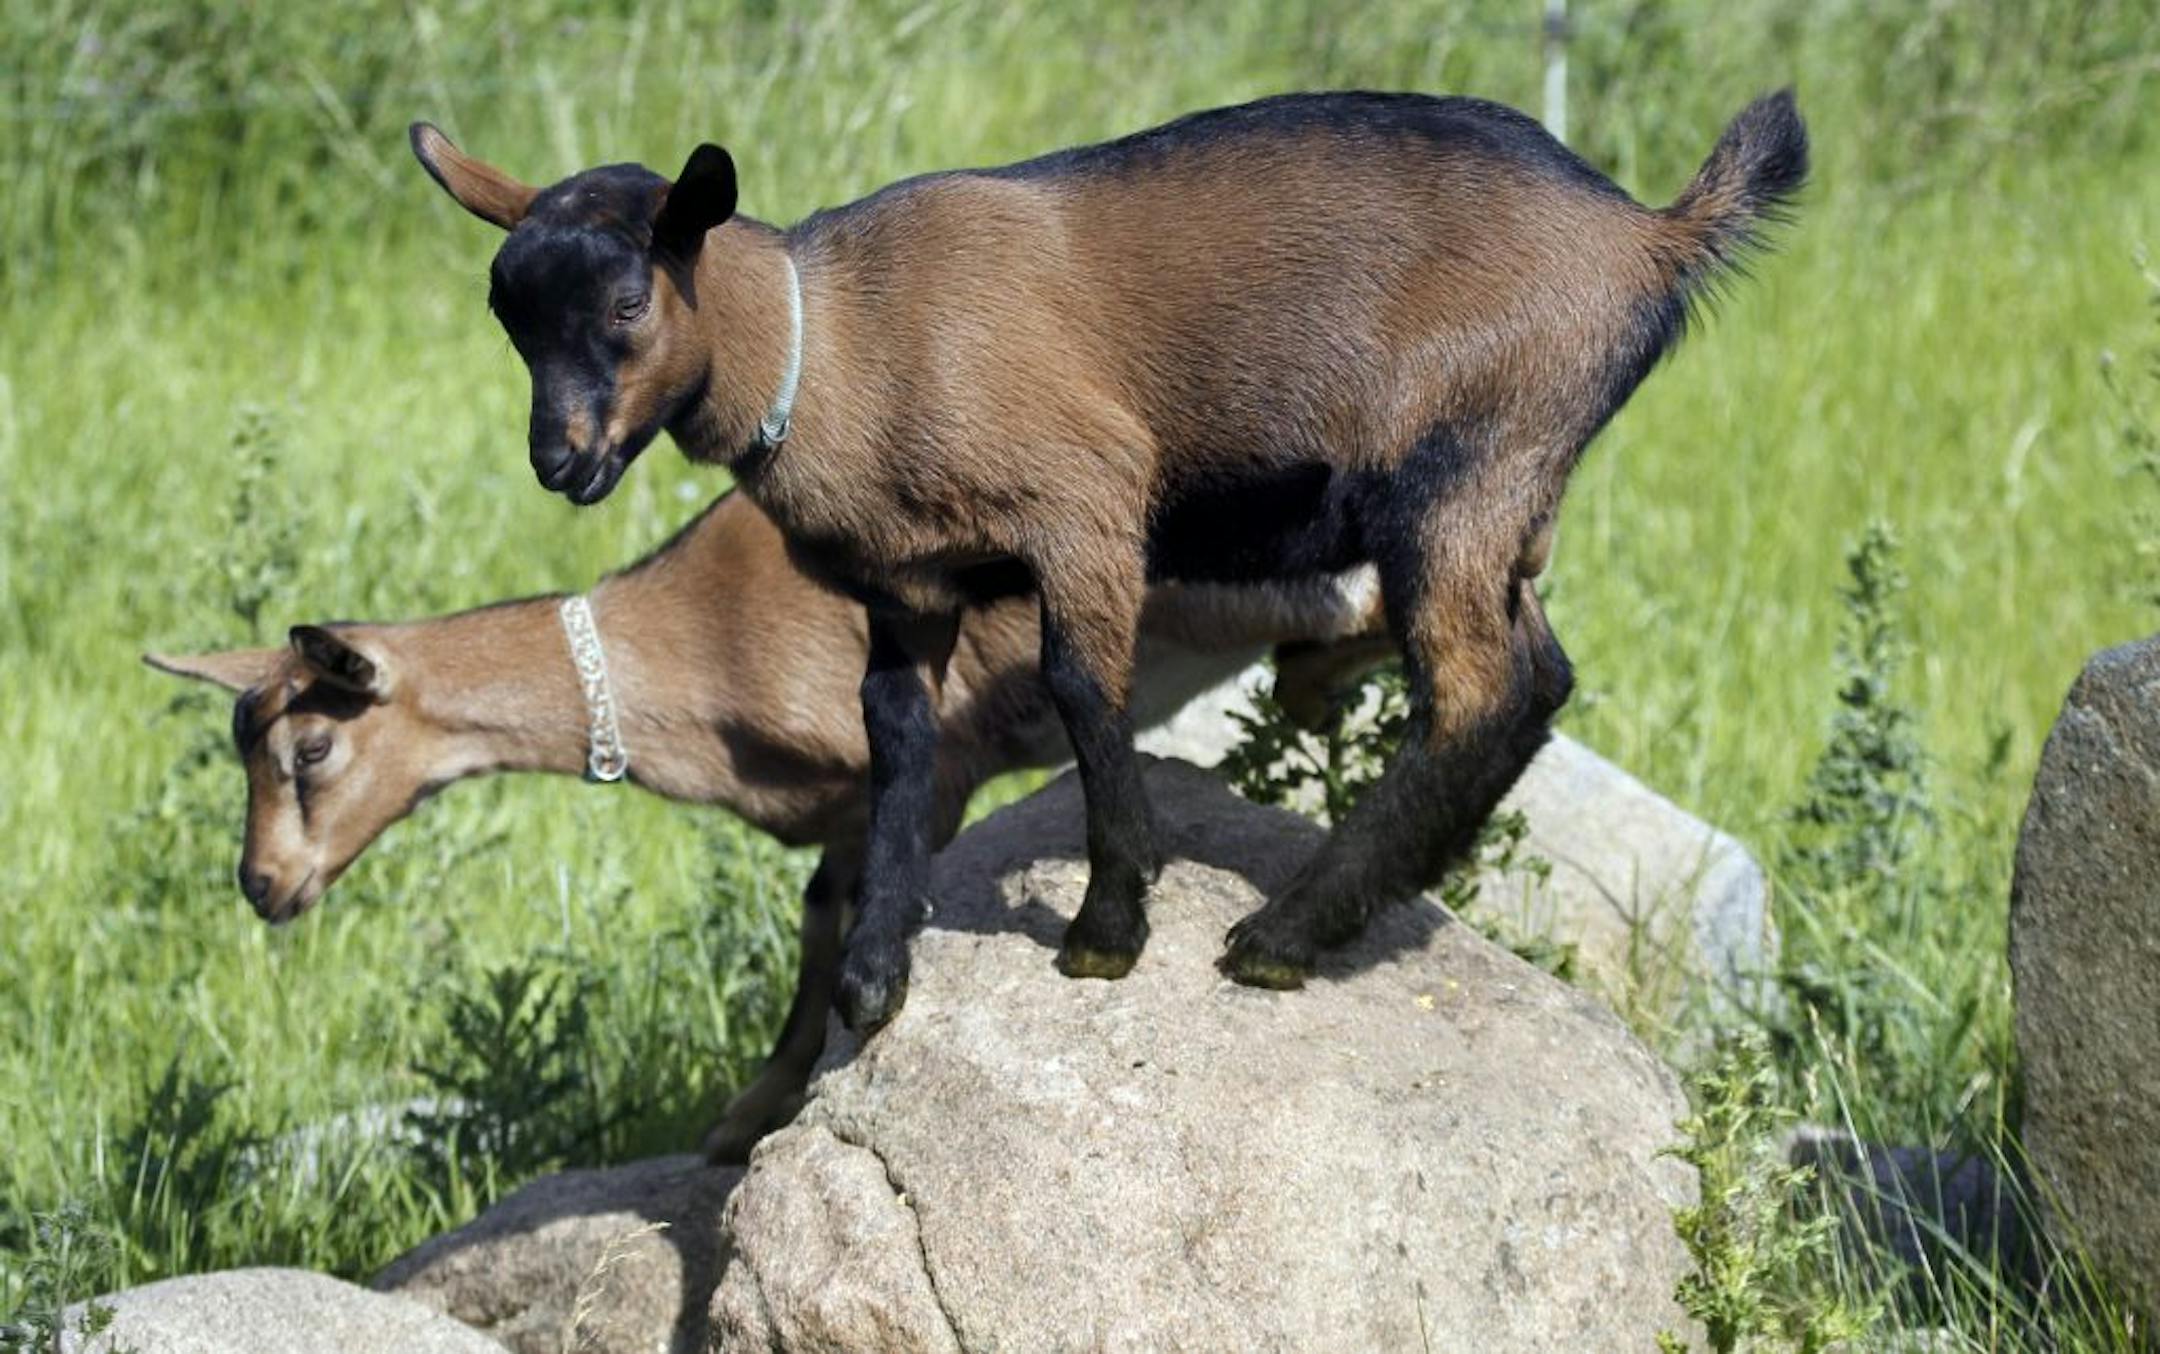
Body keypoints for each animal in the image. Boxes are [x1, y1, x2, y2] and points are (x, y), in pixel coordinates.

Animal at [147, 490, 1385, 1160]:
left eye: (311, 750)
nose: (264, 885)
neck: (700, 640)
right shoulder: (840, 811)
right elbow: (818, 929)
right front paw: (750, 1112)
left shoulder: (928, 771)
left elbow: (863, 929)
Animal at [410, 89, 1807, 1028]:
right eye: (504, 316)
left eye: (627, 304)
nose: (558, 460)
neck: (842, 346)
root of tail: (1652, 233)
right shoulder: (905, 587)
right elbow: (898, 744)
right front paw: (874, 971)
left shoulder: (1085, 500)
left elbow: (1088, 689)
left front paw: (1107, 926)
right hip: (1503, 492)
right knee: (1541, 676)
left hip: (1465, 464)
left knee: (1478, 690)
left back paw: (1283, 932)